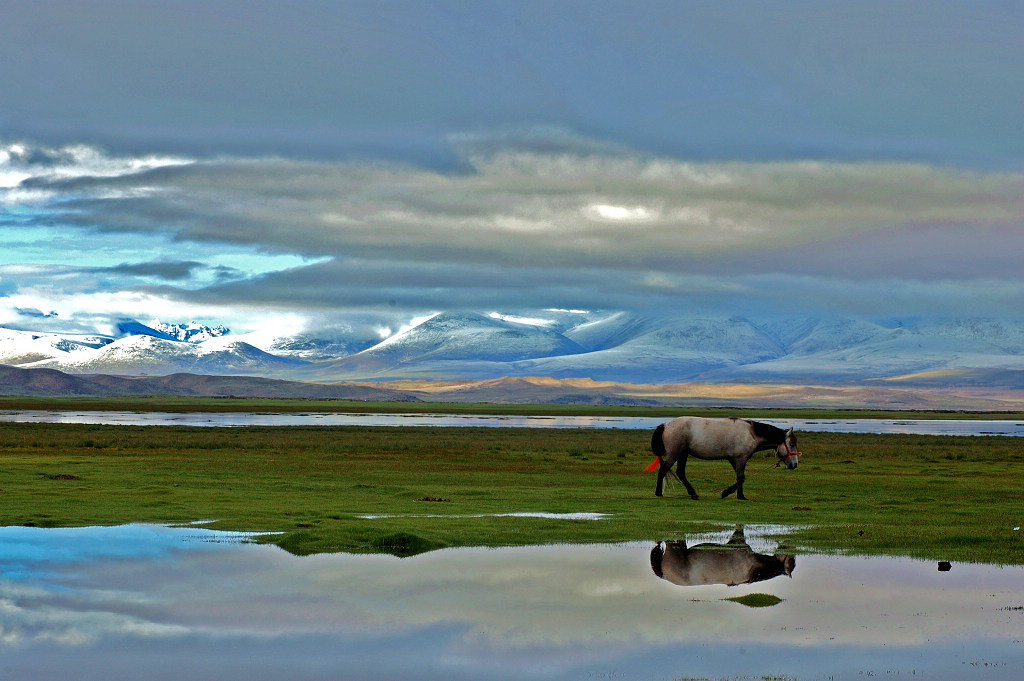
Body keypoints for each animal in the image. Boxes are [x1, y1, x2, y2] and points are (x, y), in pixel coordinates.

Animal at [643, 413, 794, 499]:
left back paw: (693, 493)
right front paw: (737, 496)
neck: (751, 434)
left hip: (683, 454)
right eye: (792, 444)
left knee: (680, 472)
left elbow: (740, 478)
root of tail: (665, 425)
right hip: (675, 454)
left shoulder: (734, 459)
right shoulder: (741, 458)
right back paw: (659, 493)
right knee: (663, 469)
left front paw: (729, 493)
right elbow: (741, 477)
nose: (794, 465)